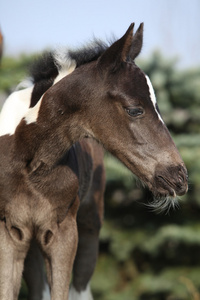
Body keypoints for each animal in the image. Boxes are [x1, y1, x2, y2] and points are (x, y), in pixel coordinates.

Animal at [0, 24, 188, 300]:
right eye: (134, 109)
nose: (179, 177)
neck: (29, 163)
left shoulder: (64, 232)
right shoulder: (9, 232)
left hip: (89, 229)